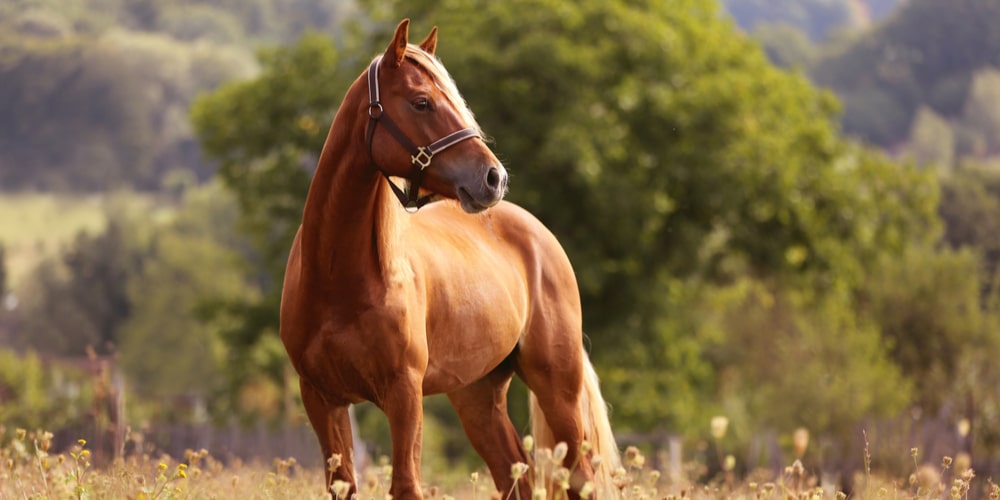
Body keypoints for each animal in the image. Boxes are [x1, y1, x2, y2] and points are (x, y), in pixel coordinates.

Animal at [282, 18, 620, 496]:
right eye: (421, 102)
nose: (494, 178)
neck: (338, 279)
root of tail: (541, 237)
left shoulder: (403, 394)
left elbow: (407, 484)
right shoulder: (321, 397)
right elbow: (342, 484)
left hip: (558, 387)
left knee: (579, 475)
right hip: (477, 394)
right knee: (515, 472)